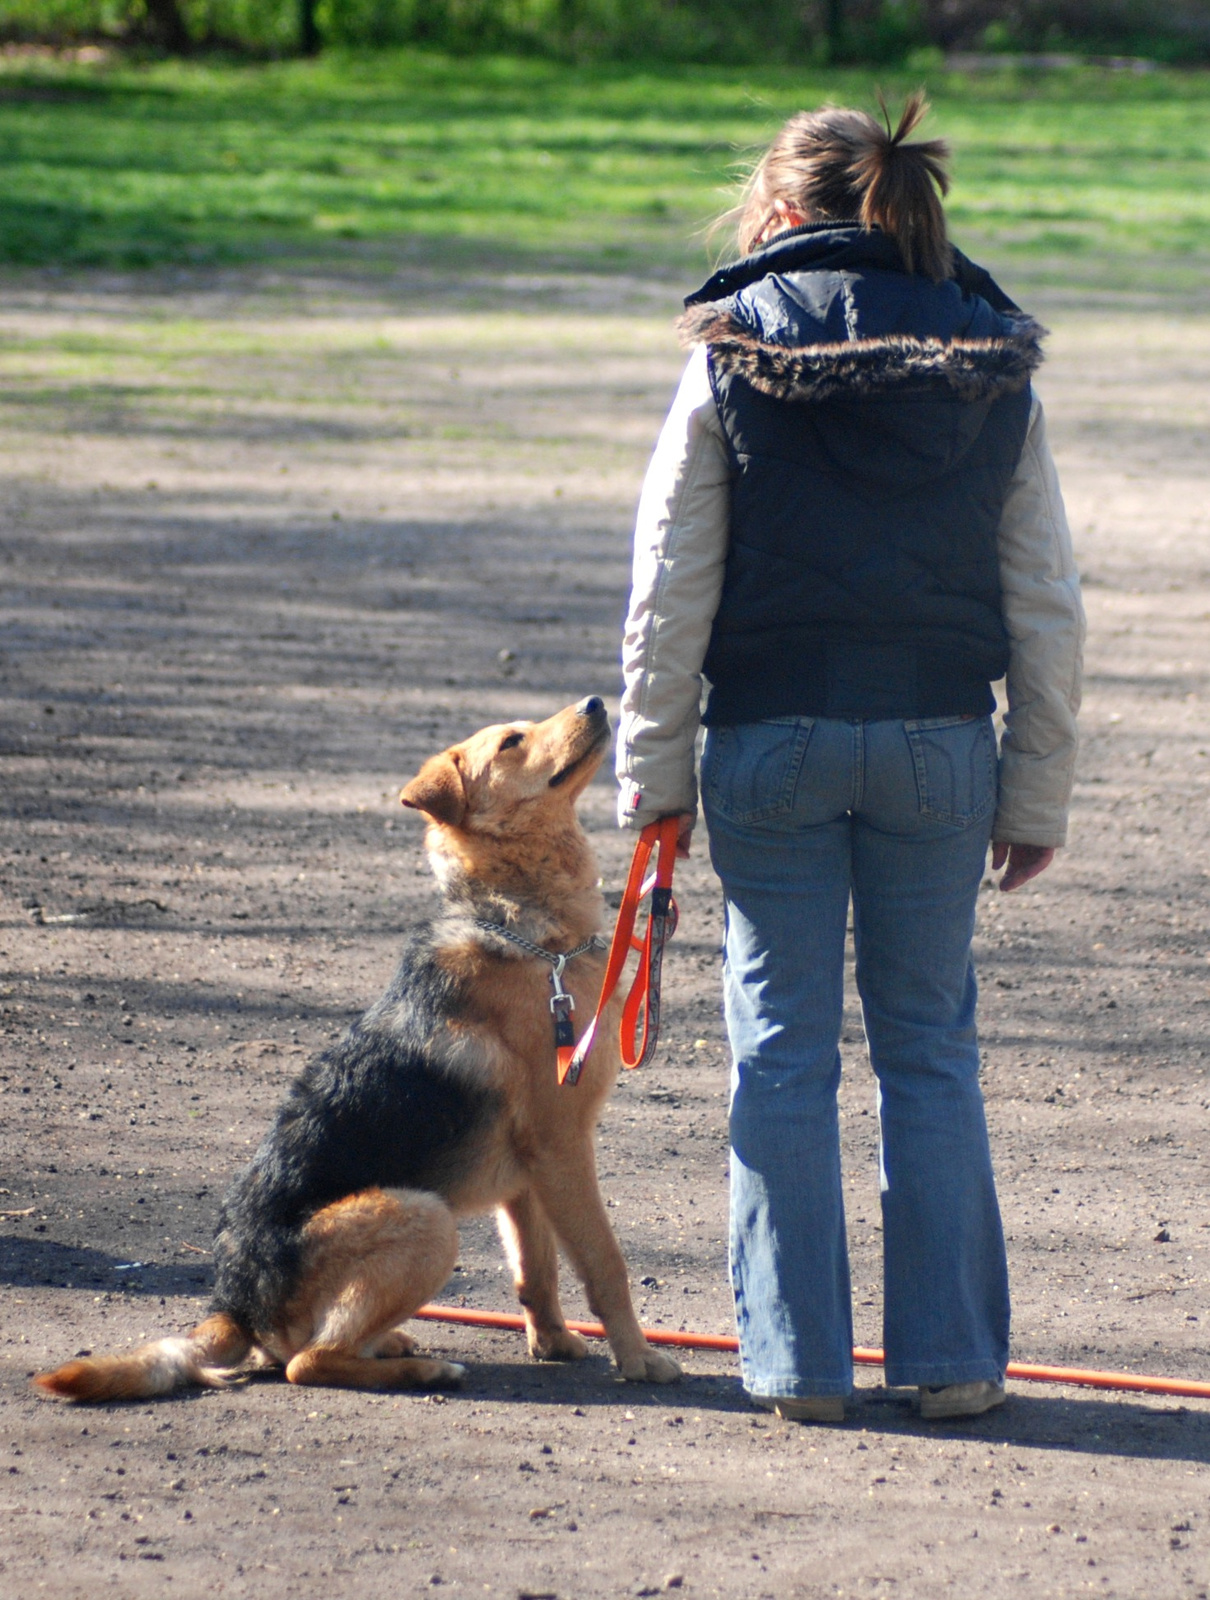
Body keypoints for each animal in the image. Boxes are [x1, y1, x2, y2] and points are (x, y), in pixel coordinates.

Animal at [35, 700, 681, 1401]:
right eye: (512, 742)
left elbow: (536, 1273)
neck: (526, 931)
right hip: (426, 1216)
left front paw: (555, 1344)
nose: (597, 702)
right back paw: (421, 1368)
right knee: (308, 1362)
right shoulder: (562, 1146)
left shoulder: (528, 1174)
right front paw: (640, 1359)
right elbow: (604, 1262)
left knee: (317, 1346)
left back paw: (394, 1343)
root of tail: (234, 1306)